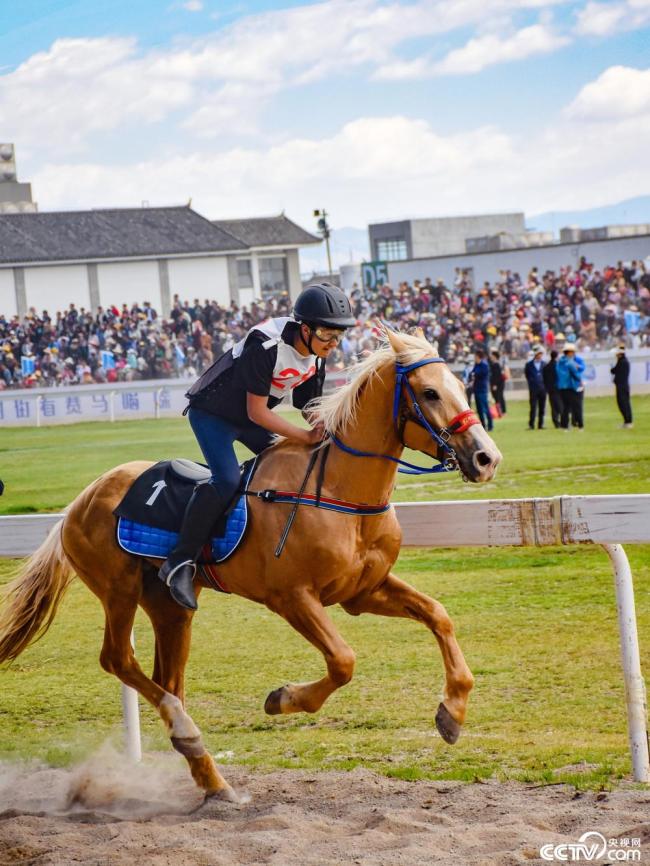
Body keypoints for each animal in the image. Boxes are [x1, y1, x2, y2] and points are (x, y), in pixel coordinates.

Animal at [0, 326, 502, 804]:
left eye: (462, 384)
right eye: (430, 393)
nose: (487, 458)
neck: (338, 491)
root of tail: (80, 500)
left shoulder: (363, 591)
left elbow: (438, 615)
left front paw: (452, 712)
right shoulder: (293, 598)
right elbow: (343, 661)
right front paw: (283, 699)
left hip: (170, 606)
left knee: (168, 681)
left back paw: (209, 775)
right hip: (118, 590)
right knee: (119, 659)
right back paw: (188, 733)